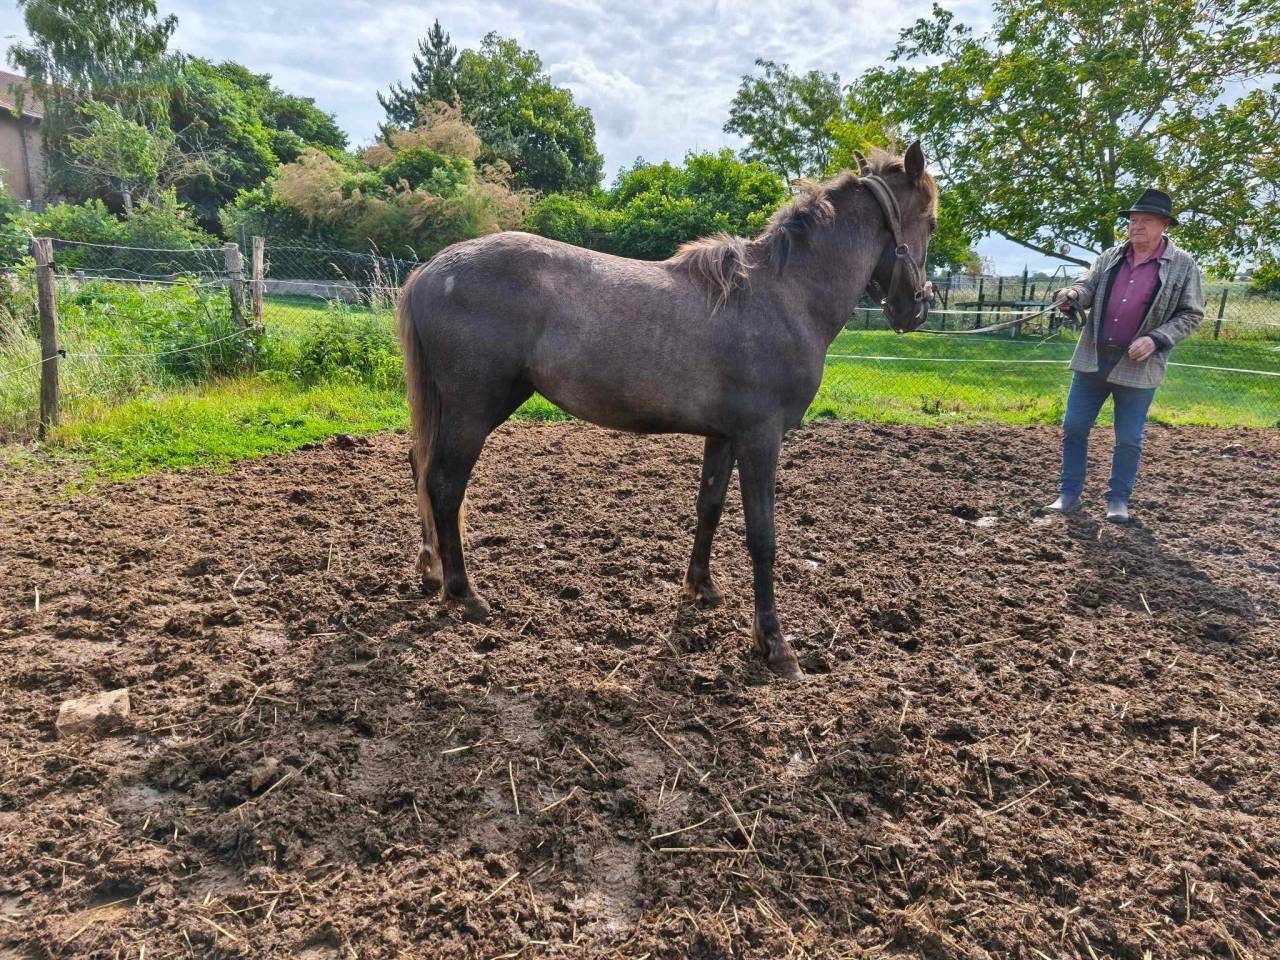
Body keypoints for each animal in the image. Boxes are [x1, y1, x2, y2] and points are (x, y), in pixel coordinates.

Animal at [399, 143, 937, 679]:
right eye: (930, 222)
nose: (916, 309)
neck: (786, 297)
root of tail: (431, 270)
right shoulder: (761, 437)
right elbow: (762, 535)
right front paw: (775, 644)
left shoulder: (724, 436)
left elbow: (710, 507)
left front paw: (702, 587)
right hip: (474, 409)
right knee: (445, 485)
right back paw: (465, 594)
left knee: (423, 472)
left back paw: (433, 573)